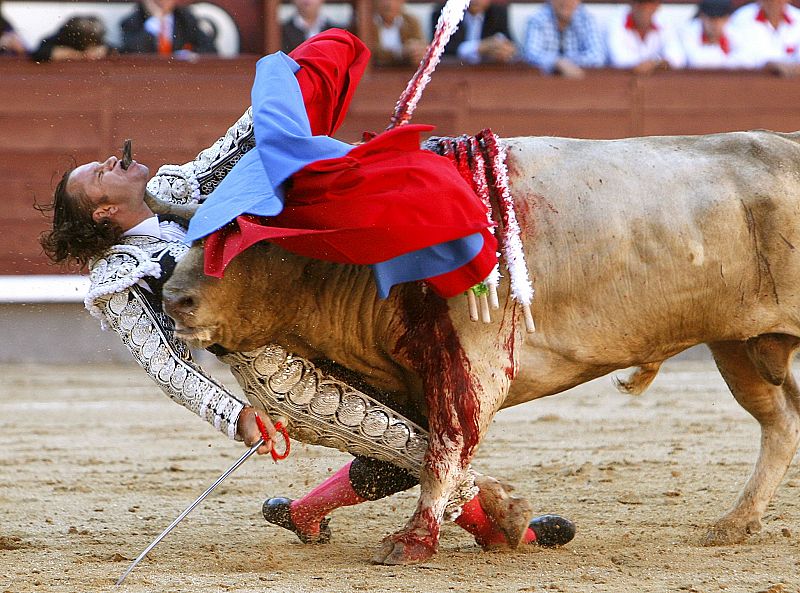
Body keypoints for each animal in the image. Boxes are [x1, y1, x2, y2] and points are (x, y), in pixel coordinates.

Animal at [159, 130, 800, 564]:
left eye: (250, 239)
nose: (172, 297)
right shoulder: (407, 381)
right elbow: (389, 460)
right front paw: (504, 519)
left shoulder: (473, 366)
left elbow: (439, 452)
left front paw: (414, 541)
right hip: (739, 345)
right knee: (782, 421)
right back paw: (736, 523)